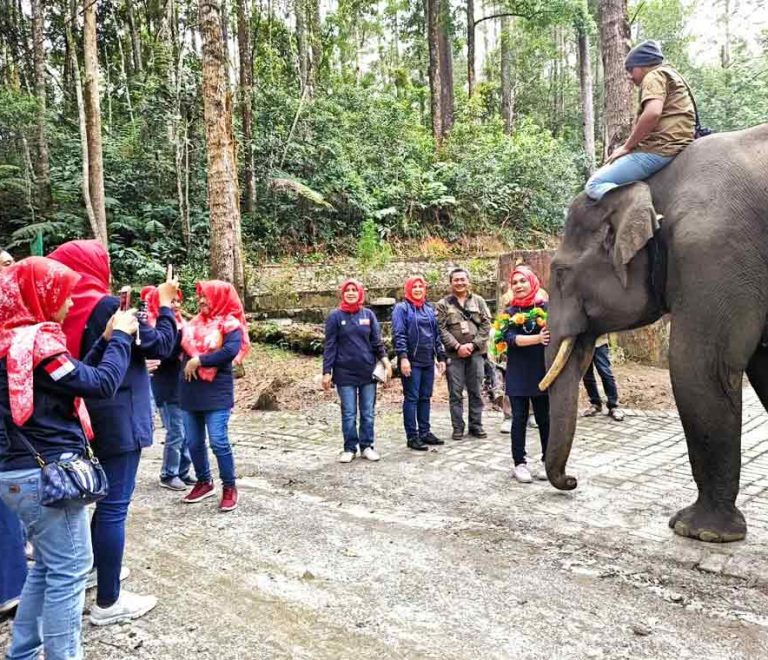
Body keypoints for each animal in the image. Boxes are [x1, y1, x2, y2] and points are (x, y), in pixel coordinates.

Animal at [540, 123, 768, 543]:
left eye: (560, 273)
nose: (573, 481)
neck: (658, 184)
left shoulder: (714, 250)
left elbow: (700, 365)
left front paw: (697, 531)